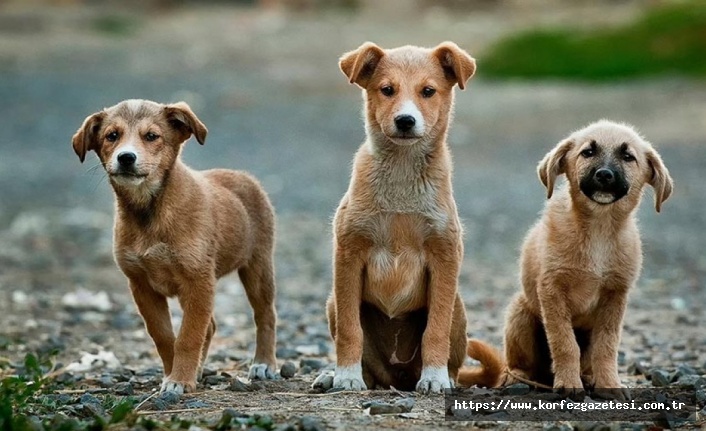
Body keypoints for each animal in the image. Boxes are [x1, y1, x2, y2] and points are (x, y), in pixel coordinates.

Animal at [72, 98, 278, 394]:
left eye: (151, 136)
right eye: (112, 136)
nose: (126, 158)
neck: (150, 212)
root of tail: (243, 176)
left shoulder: (198, 281)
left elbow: (189, 336)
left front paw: (180, 379)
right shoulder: (142, 285)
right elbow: (164, 336)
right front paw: (175, 374)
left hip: (258, 267)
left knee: (265, 315)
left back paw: (264, 363)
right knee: (211, 326)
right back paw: (200, 370)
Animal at [314, 42, 476, 394]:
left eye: (428, 91)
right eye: (387, 90)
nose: (405, 120)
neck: (402, 175)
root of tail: (397, 376)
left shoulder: (445, 255)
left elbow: (435, 330)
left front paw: (435, 377)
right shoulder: (348, 254)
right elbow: (350, 330)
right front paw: (345, 376)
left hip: (458, 307)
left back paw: (445, 377)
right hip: (333, 302)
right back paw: (334, 375)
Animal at [460, 120, 672, 400]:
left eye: (628, 157)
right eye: (588, 152)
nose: (604, 175)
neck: (599, 229)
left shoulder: (615, 296)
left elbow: (606, 346)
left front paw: (608, 384)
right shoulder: (552, 290)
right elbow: (564, 343)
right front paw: (569, 383)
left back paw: (588, 377)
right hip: (520, 313)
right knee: (518, 364)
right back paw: (518, 377)